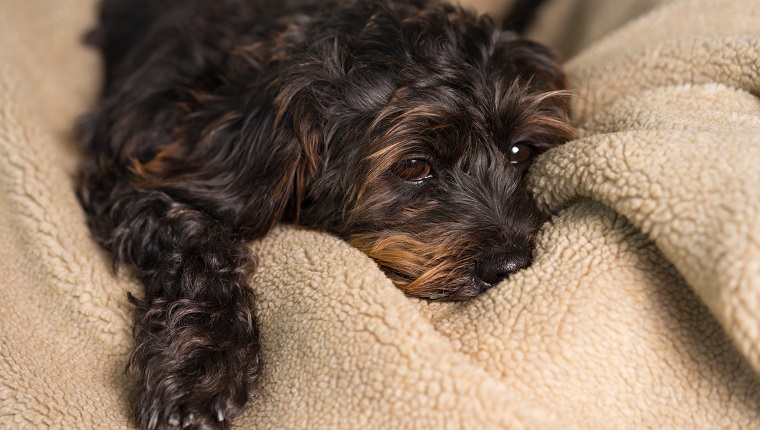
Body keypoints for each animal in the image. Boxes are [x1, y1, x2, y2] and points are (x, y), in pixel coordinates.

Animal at [78, 1, 576, 428]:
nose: (509, 263)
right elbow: (199, 242)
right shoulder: (130, 171)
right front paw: (200, 367)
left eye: (520, 151)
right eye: (414, 166)